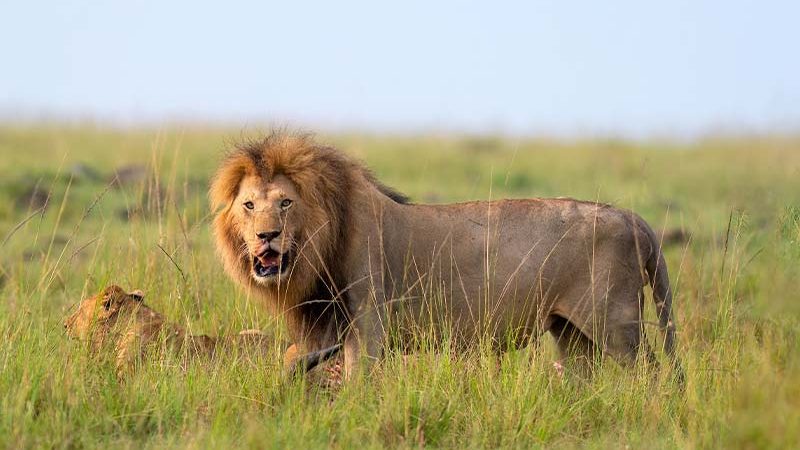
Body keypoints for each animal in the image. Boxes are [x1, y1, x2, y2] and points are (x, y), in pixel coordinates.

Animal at [210, 133, 682, 381]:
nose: (266, 237)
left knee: (651, 372)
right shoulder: (324, 327)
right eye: (249, 205)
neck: (318, 247)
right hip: (571, 332)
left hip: (615, 324)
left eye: (286, 203)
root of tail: (631, 217)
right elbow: (293, 360)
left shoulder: (369, 323)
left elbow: (359, 380)